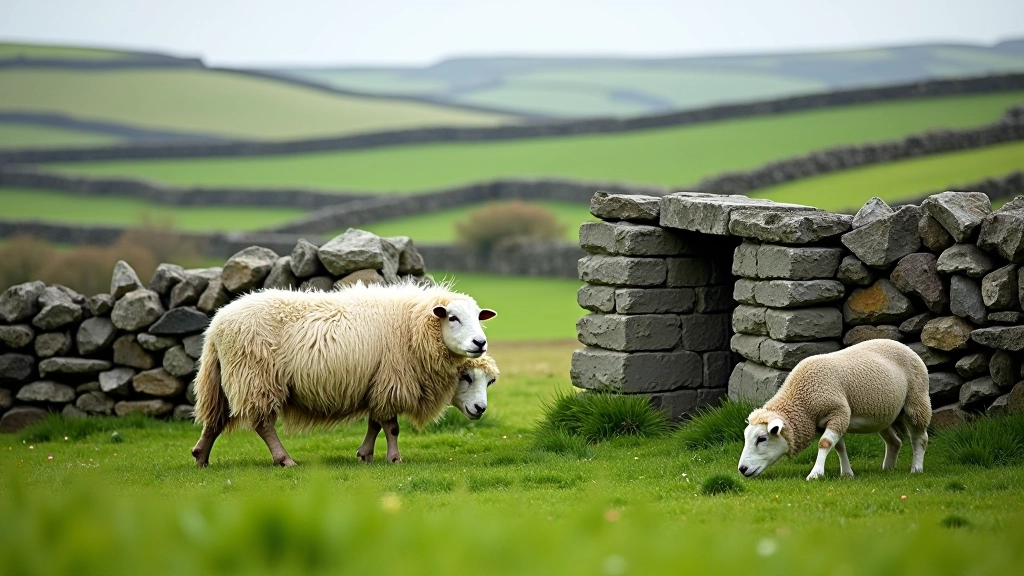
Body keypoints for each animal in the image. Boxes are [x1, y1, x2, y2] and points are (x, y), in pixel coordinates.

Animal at [190, 282, 497, 467]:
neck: (414, 325)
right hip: (256, 377)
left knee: (215, 419)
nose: (480, 343)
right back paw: (284, 459)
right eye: (453, 317)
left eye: (490, 381)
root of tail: (216, 324)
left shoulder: (377, 382)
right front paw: (394, 458)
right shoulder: (392, 380)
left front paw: (365, 454)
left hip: (225, 378)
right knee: (263, 425)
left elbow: (375, 423)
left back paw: (201, 456)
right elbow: (391, 427)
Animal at [737, 339, 931, 481]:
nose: (742, 469)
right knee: (895, 441)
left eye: (761, 438)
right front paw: (847, 473)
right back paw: (888, 469)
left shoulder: (839, 412)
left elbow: (825, 443)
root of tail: (902, 344)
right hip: (883, 415)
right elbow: (839, 447)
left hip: (916, 402)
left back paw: (916, 468)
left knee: (920, 439)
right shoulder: (827, 422)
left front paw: (815, 474)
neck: (802, 402)